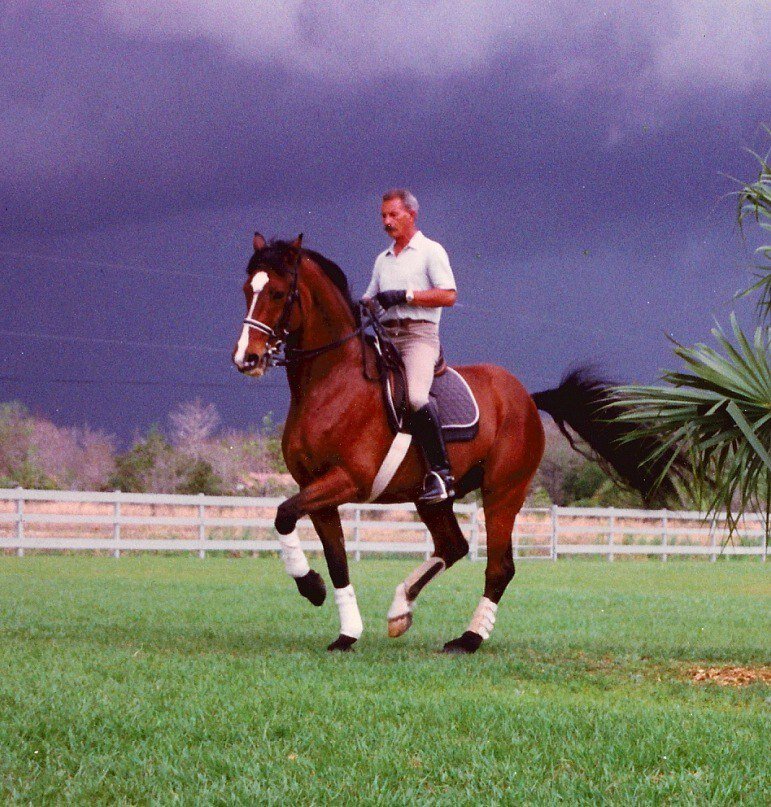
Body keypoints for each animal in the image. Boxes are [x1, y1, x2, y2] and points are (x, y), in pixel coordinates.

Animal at [232, 237, 668, 652]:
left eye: (278, 293)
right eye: (246, 289)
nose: (246, 358)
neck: (331, 384)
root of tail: (527, 398)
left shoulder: (347, 480)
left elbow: (284, 514)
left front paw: (312, 588)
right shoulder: (318, 489)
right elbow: (335, 559)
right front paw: (346, 632)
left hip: (502, 492)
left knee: (499, 567)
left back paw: (468, 639)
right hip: (432, 497)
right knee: (454, 545)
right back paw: (400, 608)